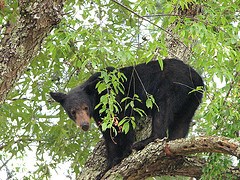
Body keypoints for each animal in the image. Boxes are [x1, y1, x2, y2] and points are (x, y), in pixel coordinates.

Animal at [49, 58, 203, 169]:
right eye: (73, 111)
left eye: (85, 107)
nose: (85, 125)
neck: (97, 96)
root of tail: (196, 78)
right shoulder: (101, 114)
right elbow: (108, 133)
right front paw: (109, 163)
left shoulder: (114, 98)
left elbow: (123, 123)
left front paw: (124, 153)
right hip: (191, 99)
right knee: (182, 122)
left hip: (171, 88)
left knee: (162, 111)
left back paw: (144, 142)